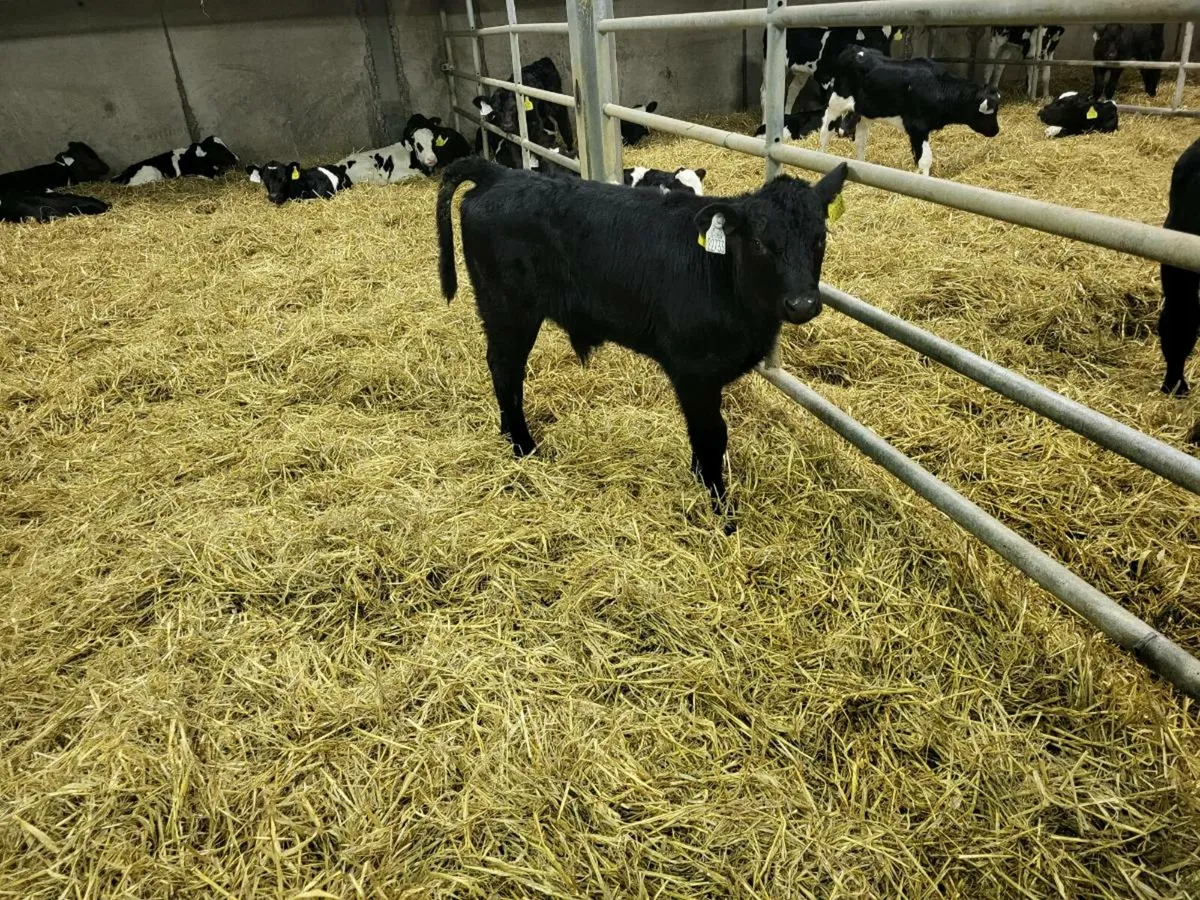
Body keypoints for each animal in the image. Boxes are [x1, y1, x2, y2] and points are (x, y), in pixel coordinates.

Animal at [435, 157, 848, 531]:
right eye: (760, 243)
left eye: (820, 238)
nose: (802, 304)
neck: (720, 270)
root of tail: (499, 173)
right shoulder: (693, 370)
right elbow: (712, 436)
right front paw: (721, 512)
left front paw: (700, 481)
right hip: (508, 310)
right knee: (505, 369)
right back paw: (524, 447)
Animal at [820, 47, 1000, 177]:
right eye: (991, 112)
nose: (996, 130)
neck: (937, 87)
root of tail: (853, 50)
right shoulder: (917, 127)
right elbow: (926, 159)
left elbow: (918, 157)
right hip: (836, 104)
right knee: (825, 133)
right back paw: (821, 158)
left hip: (863, 113)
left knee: (860, 142)